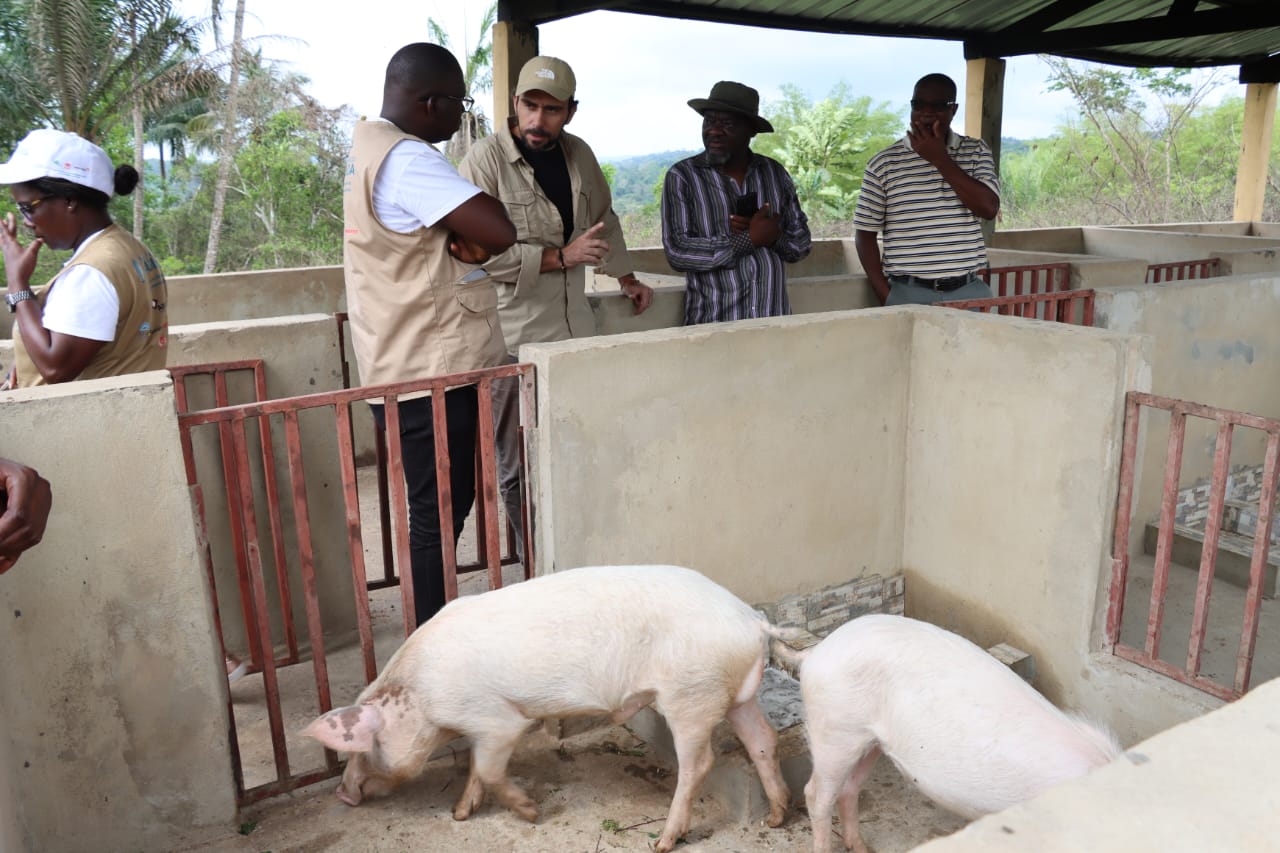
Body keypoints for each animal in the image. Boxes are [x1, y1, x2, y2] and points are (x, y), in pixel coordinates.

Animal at [302, 560, 788, 845]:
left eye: (363, 746)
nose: (343, 793)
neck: (422, 695)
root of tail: (753, 621)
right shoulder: (480, 728)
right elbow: (477, 767)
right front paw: (460, 814)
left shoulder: (496, 719)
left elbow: (491, 767)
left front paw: (531, 813)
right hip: (732, 695)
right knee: (763, 738)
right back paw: (776, 818)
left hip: (692, 696)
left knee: (699, 763)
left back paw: (663, 841)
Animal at [798, 612, 1121, 850]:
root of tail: (815, 653)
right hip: (834, 729)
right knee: (815, 794)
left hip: (869, 740)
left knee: (849, 789)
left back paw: (862, 849)